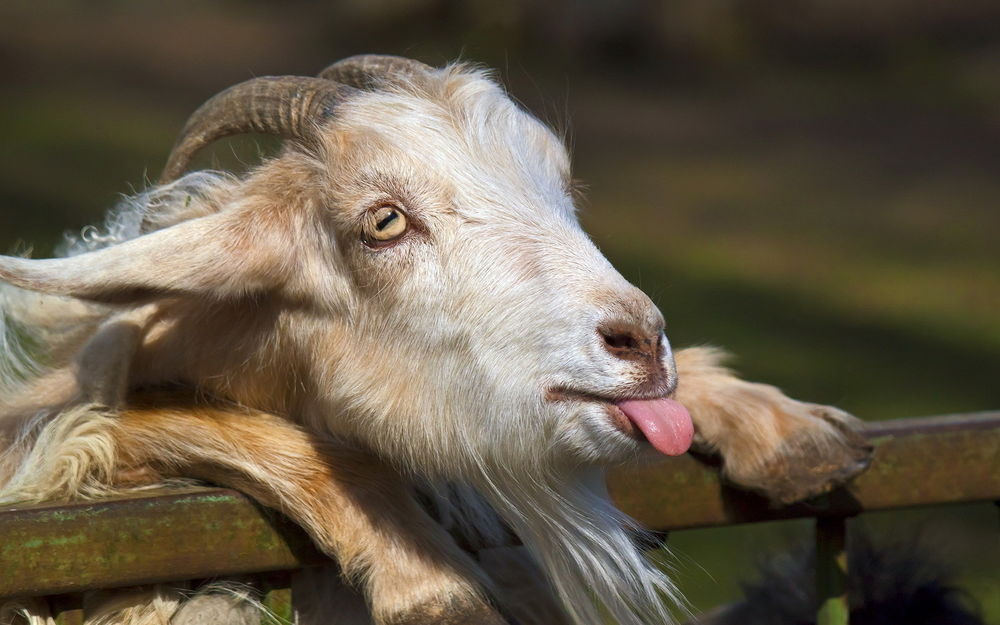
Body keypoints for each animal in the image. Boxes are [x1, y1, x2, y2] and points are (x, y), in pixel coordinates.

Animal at [0, 56, 872, 625]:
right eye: (384, 221)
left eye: (561, 188)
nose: (641, 341)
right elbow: (138, 420)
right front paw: (428, 578)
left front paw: (791, 431)